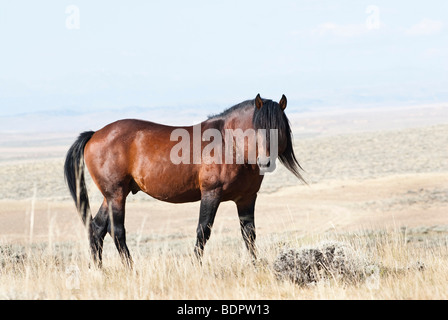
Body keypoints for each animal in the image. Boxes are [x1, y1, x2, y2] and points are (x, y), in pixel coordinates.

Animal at [64, 93, 304, 268]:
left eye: (279, 128)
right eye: (257, 128)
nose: (265, 161)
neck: (229, 144)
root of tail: (95, 134)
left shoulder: (246, 198)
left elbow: (249, 234)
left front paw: (255, 264)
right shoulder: (211, 193)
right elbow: (203, 231)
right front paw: (196, 265)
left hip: (110, 195)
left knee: (97, 228)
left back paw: (99, 270)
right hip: (116, 195)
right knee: (117, 231)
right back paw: (131, 269)